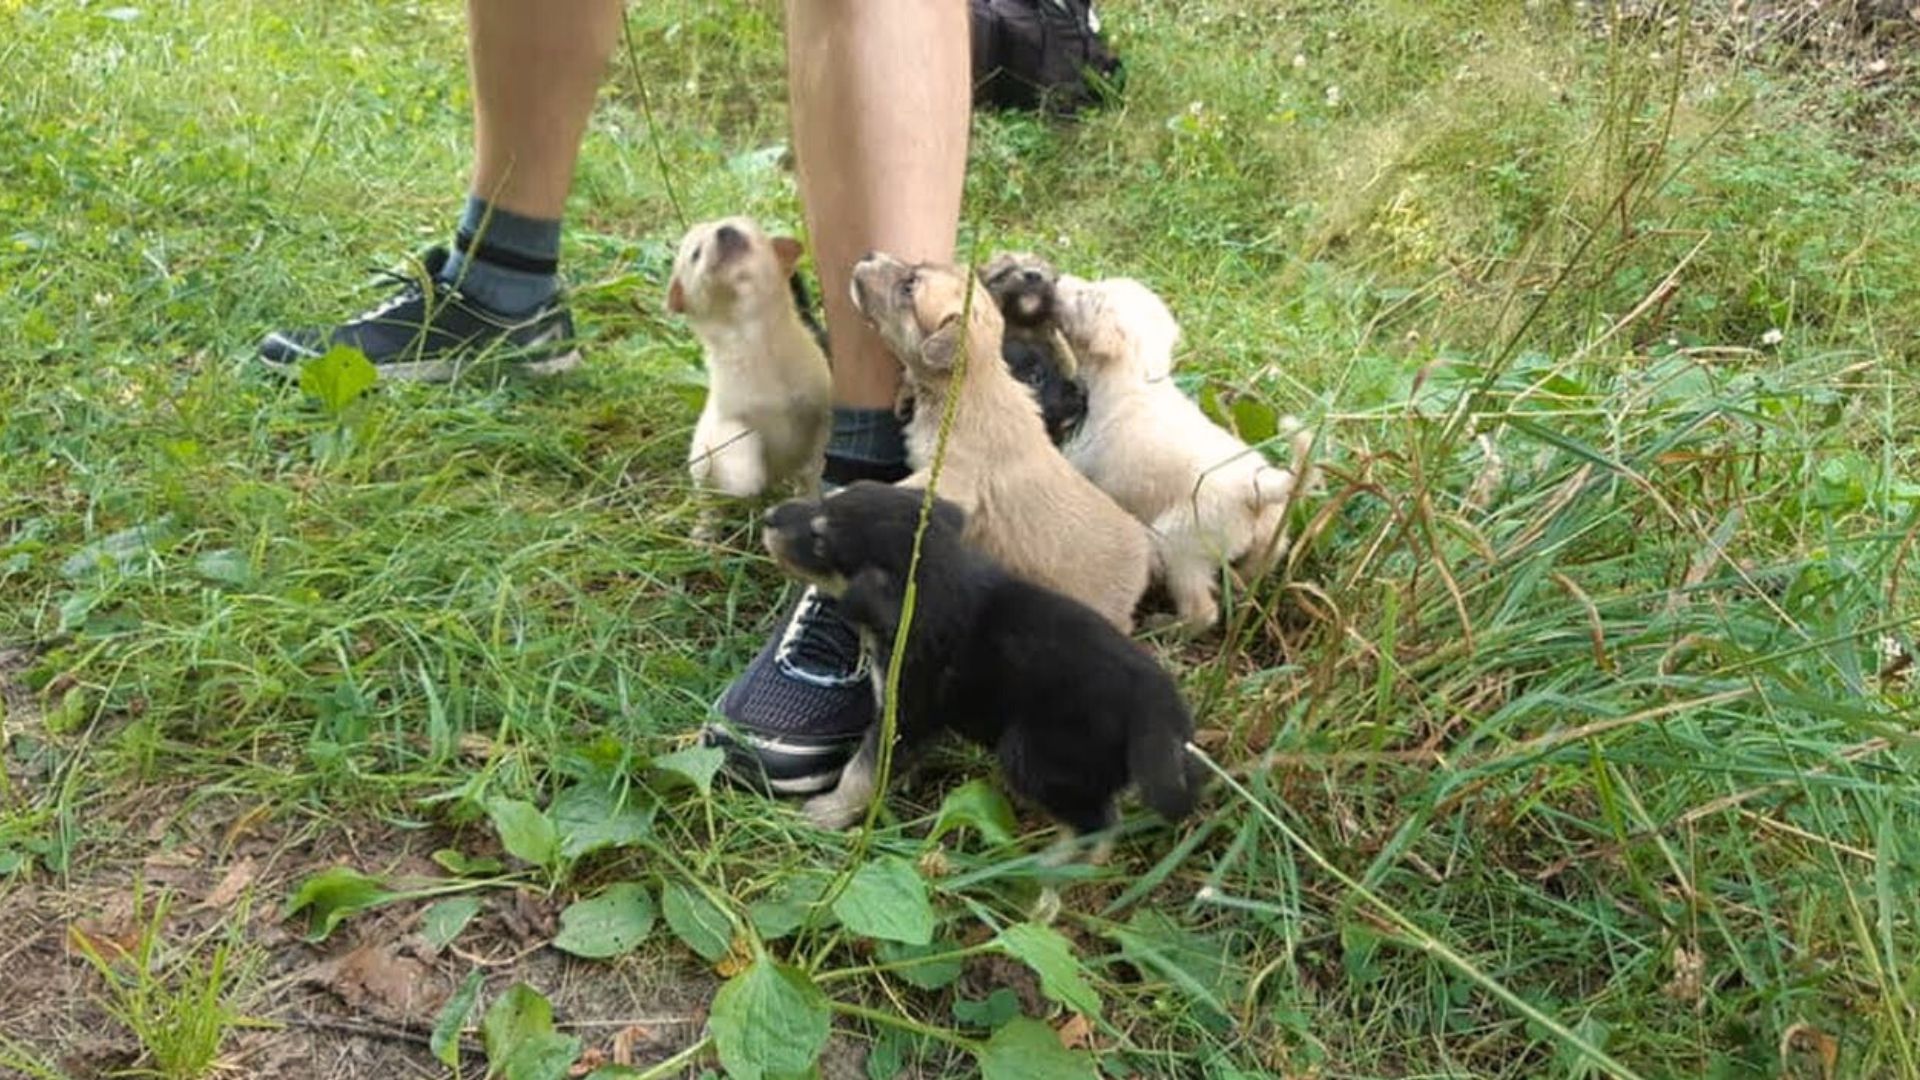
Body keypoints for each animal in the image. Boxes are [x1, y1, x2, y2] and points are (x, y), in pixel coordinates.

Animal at [668, 215, 833, 538]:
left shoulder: (819, 407)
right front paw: (746, 482)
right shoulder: (729, 419)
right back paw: (704, 533)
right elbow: (741, 444)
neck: (753, 337)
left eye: (745, 227)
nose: (725, 231)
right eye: (695, 254)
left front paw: (815, 469)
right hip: (700, 469)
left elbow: (818, 448)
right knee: (708, 504)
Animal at [760, 478, 1198, 857]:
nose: (768, 515)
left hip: (1031, 752)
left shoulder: (906, 714)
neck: (935, 581)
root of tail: (1159, 704)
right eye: (830, 498)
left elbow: (861, 772)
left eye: (820, 541)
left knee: (1098, 827)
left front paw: (827, 813)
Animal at [1044, 272, 1313, 634]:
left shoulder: (1083, 460)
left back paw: (1165, 626)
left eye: (1089, 296)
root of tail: (1257, 487)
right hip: (1270, 541)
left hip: (1178, 542)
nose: (1055, 277)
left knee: (1202, 611)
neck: (1138, 377)